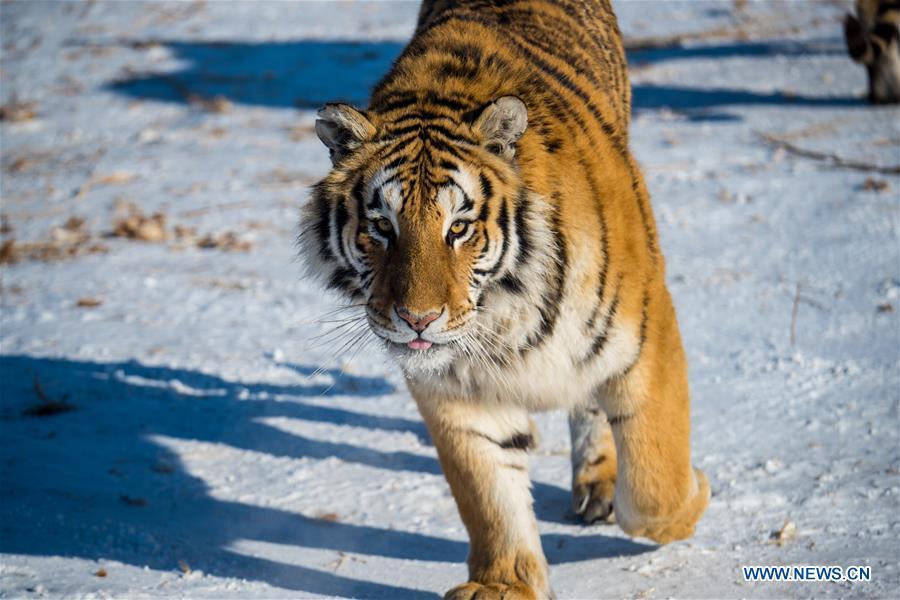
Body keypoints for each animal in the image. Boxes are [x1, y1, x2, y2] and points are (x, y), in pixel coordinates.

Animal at [298, 0, 709, 597]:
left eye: (459, 227)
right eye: (382, 226)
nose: (417, 319)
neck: (502, 313)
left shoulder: (646, 333)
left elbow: (655, 486)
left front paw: (696, 492)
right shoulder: (453, 390)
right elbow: (488, 490)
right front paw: (504, 585)